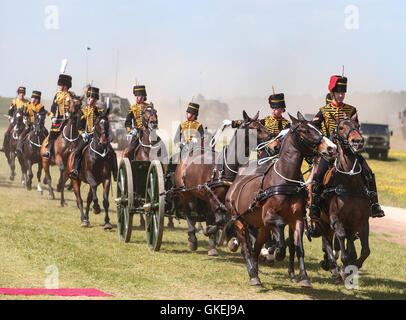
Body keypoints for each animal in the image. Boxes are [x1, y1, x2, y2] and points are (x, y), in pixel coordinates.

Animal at [173, 111, 272, 256]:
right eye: (256, 129)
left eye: (263, 125)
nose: (275, 145)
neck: (225, 169)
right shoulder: (215, 201)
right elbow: (220, 221)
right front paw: (209, 231)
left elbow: (229, 221)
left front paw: (232, 241)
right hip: (185, 193)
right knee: (188, 213)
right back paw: (192, 239)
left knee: (207, 216)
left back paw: (212, 246)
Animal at [225, 112, 336, 288]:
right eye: (305, 130)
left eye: (317, 128)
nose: (332, 148)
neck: (285, 181)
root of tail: (237, 181)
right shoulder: (269, 217)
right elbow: (281, 227)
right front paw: (277, 252)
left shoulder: (297, 219)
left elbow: (299, 248)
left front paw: (304, 277)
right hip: (239, 221)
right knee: (246, 248)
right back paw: (253, 275)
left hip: (261, 227)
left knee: (256, 248)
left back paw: (256, 270)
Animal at [314, 114, 372, 282]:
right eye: (340, 128)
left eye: (357, 125)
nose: (357, 141)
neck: (350, 182)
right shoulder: (335, 219)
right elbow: (340, 238)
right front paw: (344, 268)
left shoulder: (362, 220)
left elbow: (365, 250)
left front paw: (353, 266)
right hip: (321, 221)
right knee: (327, 242)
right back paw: (333, 268)